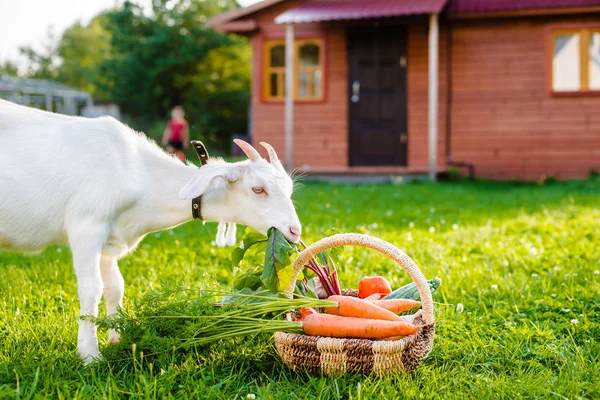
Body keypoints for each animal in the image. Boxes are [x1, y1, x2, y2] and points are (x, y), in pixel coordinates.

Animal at [0, 99, 300, 362]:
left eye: (289, 189)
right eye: (258, 189)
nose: (295, 230)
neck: (140, 176)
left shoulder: (110, 240)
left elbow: (115, 286)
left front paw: (116, 336)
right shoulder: (87, 227)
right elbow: (91, 289)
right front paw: (89, 355)